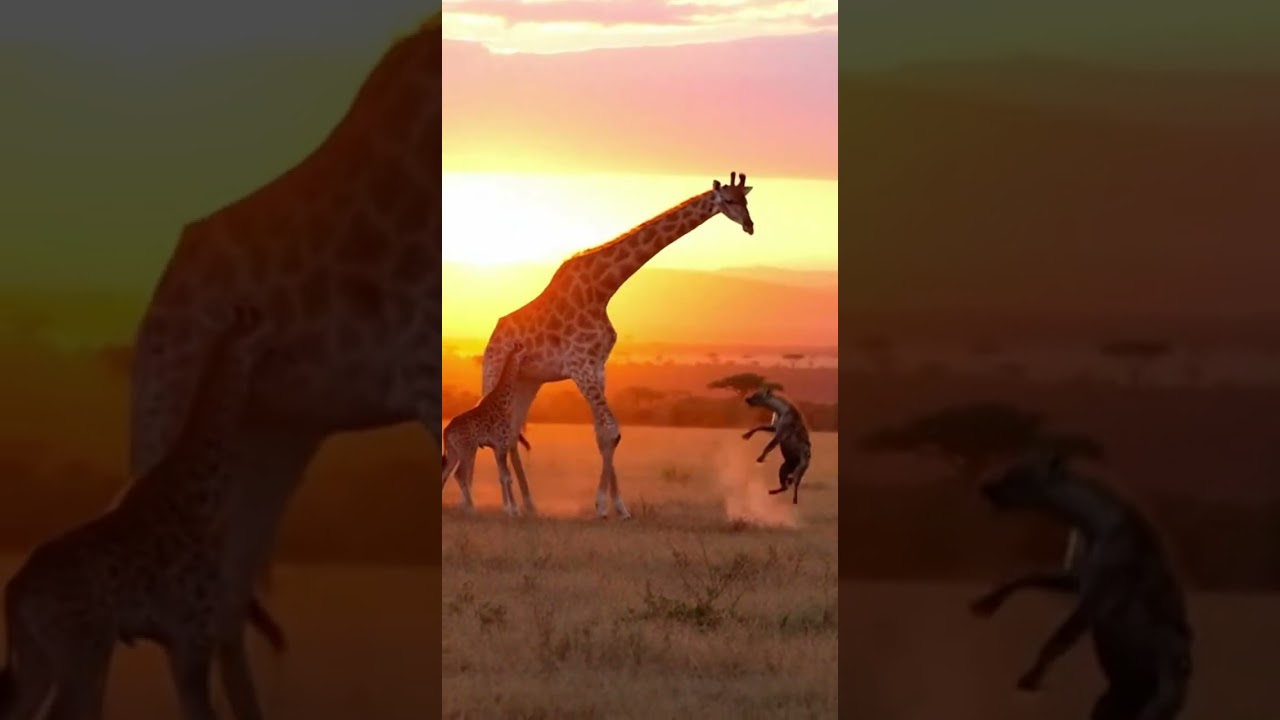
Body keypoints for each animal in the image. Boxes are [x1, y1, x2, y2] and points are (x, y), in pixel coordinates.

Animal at [0, 305, 275, 720]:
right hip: (83, 651)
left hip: (40, 656)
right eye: (260, 321)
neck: (202, 497)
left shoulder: (177, 641)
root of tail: (14, 591)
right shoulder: (193, 634)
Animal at [440, 342, 533, 515]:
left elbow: (503, 476)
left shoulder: (496, 447)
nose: (530, 357)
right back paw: (471, 507)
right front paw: (514, 510)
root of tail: (446, 432)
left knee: (446, 472)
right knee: (459, 474)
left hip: (454, 451)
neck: (504, 401)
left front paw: (509, 508)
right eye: (524, 348)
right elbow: (507, 476)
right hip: (467, 448)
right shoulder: (502, 444)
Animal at [481, 171, 756, 519]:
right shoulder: (580, 366)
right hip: (494, 373)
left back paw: (529, 505)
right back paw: (508, 506)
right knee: (495, 428)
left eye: (747, 200)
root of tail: (492, 337)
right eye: (730, 200)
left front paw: (619, 507)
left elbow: (605, 434)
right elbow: (610, 429)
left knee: (513, 432)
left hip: (527, 381)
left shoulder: (597, 367)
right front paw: (602, 506)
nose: (750, 225)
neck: (603, 289)